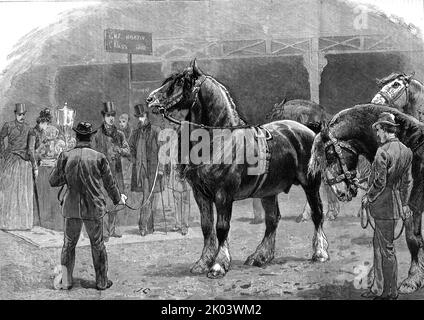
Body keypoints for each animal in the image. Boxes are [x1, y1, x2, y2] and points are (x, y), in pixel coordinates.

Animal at [146, 59, 328, 278]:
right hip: (268, 191)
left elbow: (222, 227)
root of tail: (308, 130)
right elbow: (207, 227)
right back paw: (260, 256)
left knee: (317, 213)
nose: (150, 99)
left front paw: (218, 264)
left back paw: (319, 252)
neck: (217, 140)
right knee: (272, 220)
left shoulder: (223, 194)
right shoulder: (200, 194)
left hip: (311, 184)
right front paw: (203, 262)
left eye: (180, 82)